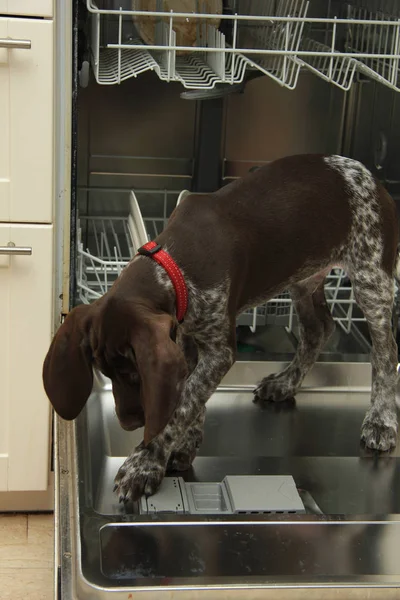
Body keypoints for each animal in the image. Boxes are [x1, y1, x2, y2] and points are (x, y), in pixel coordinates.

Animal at [42, 154, 398, 502]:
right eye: (104, 372)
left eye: (133, 374)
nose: (129, 423)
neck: (172, 266)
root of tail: (369, 175)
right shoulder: (184, 333)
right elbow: (192, 395)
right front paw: (185, 446)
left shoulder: (219, 349)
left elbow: (184, 401)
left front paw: (146, 462)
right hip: (304, 274)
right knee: (318, 330)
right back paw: (285, 383)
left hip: (371, 278)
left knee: (385, 352)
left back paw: (381, 421)